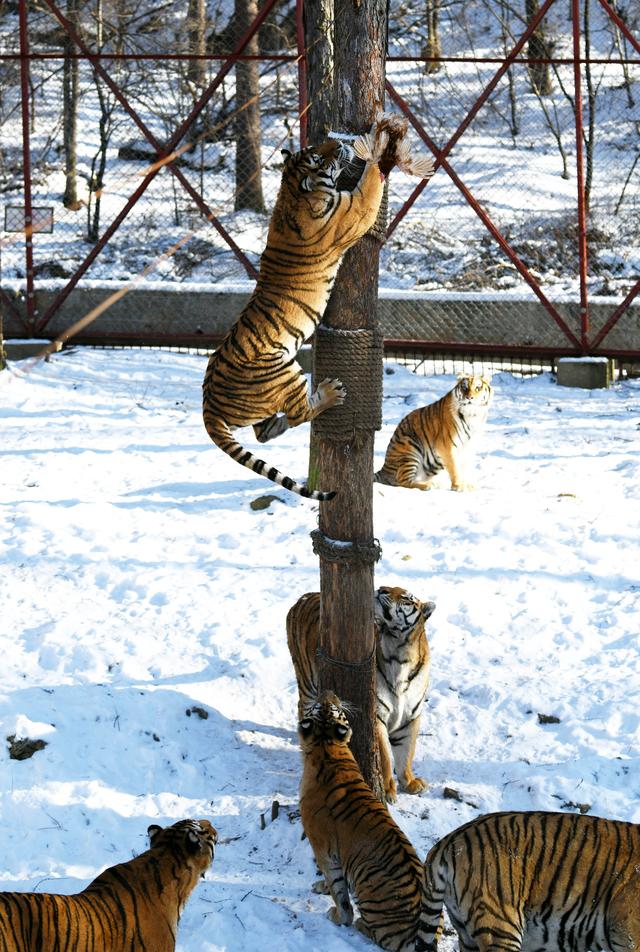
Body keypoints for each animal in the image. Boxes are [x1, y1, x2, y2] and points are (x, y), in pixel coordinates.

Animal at [201, 113, 436, 498]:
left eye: (312, 148)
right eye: (318, 158)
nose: (336, 143)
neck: (292, 191)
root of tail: (207, 405)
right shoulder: (353, 211)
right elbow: (371, 185)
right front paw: (379, 152)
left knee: (264, 432)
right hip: (285, 372)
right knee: (298, 413)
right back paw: (329, 393)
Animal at [288, 588, 436, 804]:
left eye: (406, 598)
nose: (382, 588)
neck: (400, 653)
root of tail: (304, 596)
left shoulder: (410, 717)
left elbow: (406, 753)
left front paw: (409, 783)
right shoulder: (378, 716)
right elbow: (384, 757)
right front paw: (388, 791)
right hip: (307, 681)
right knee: (302, 707)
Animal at [298, 692, 428, 952]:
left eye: (331, 707)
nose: (330, 693)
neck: (327, 746)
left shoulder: (323, 849)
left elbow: (338, 889)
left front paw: (338, 915)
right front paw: (322, 888)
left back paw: (360, 924)